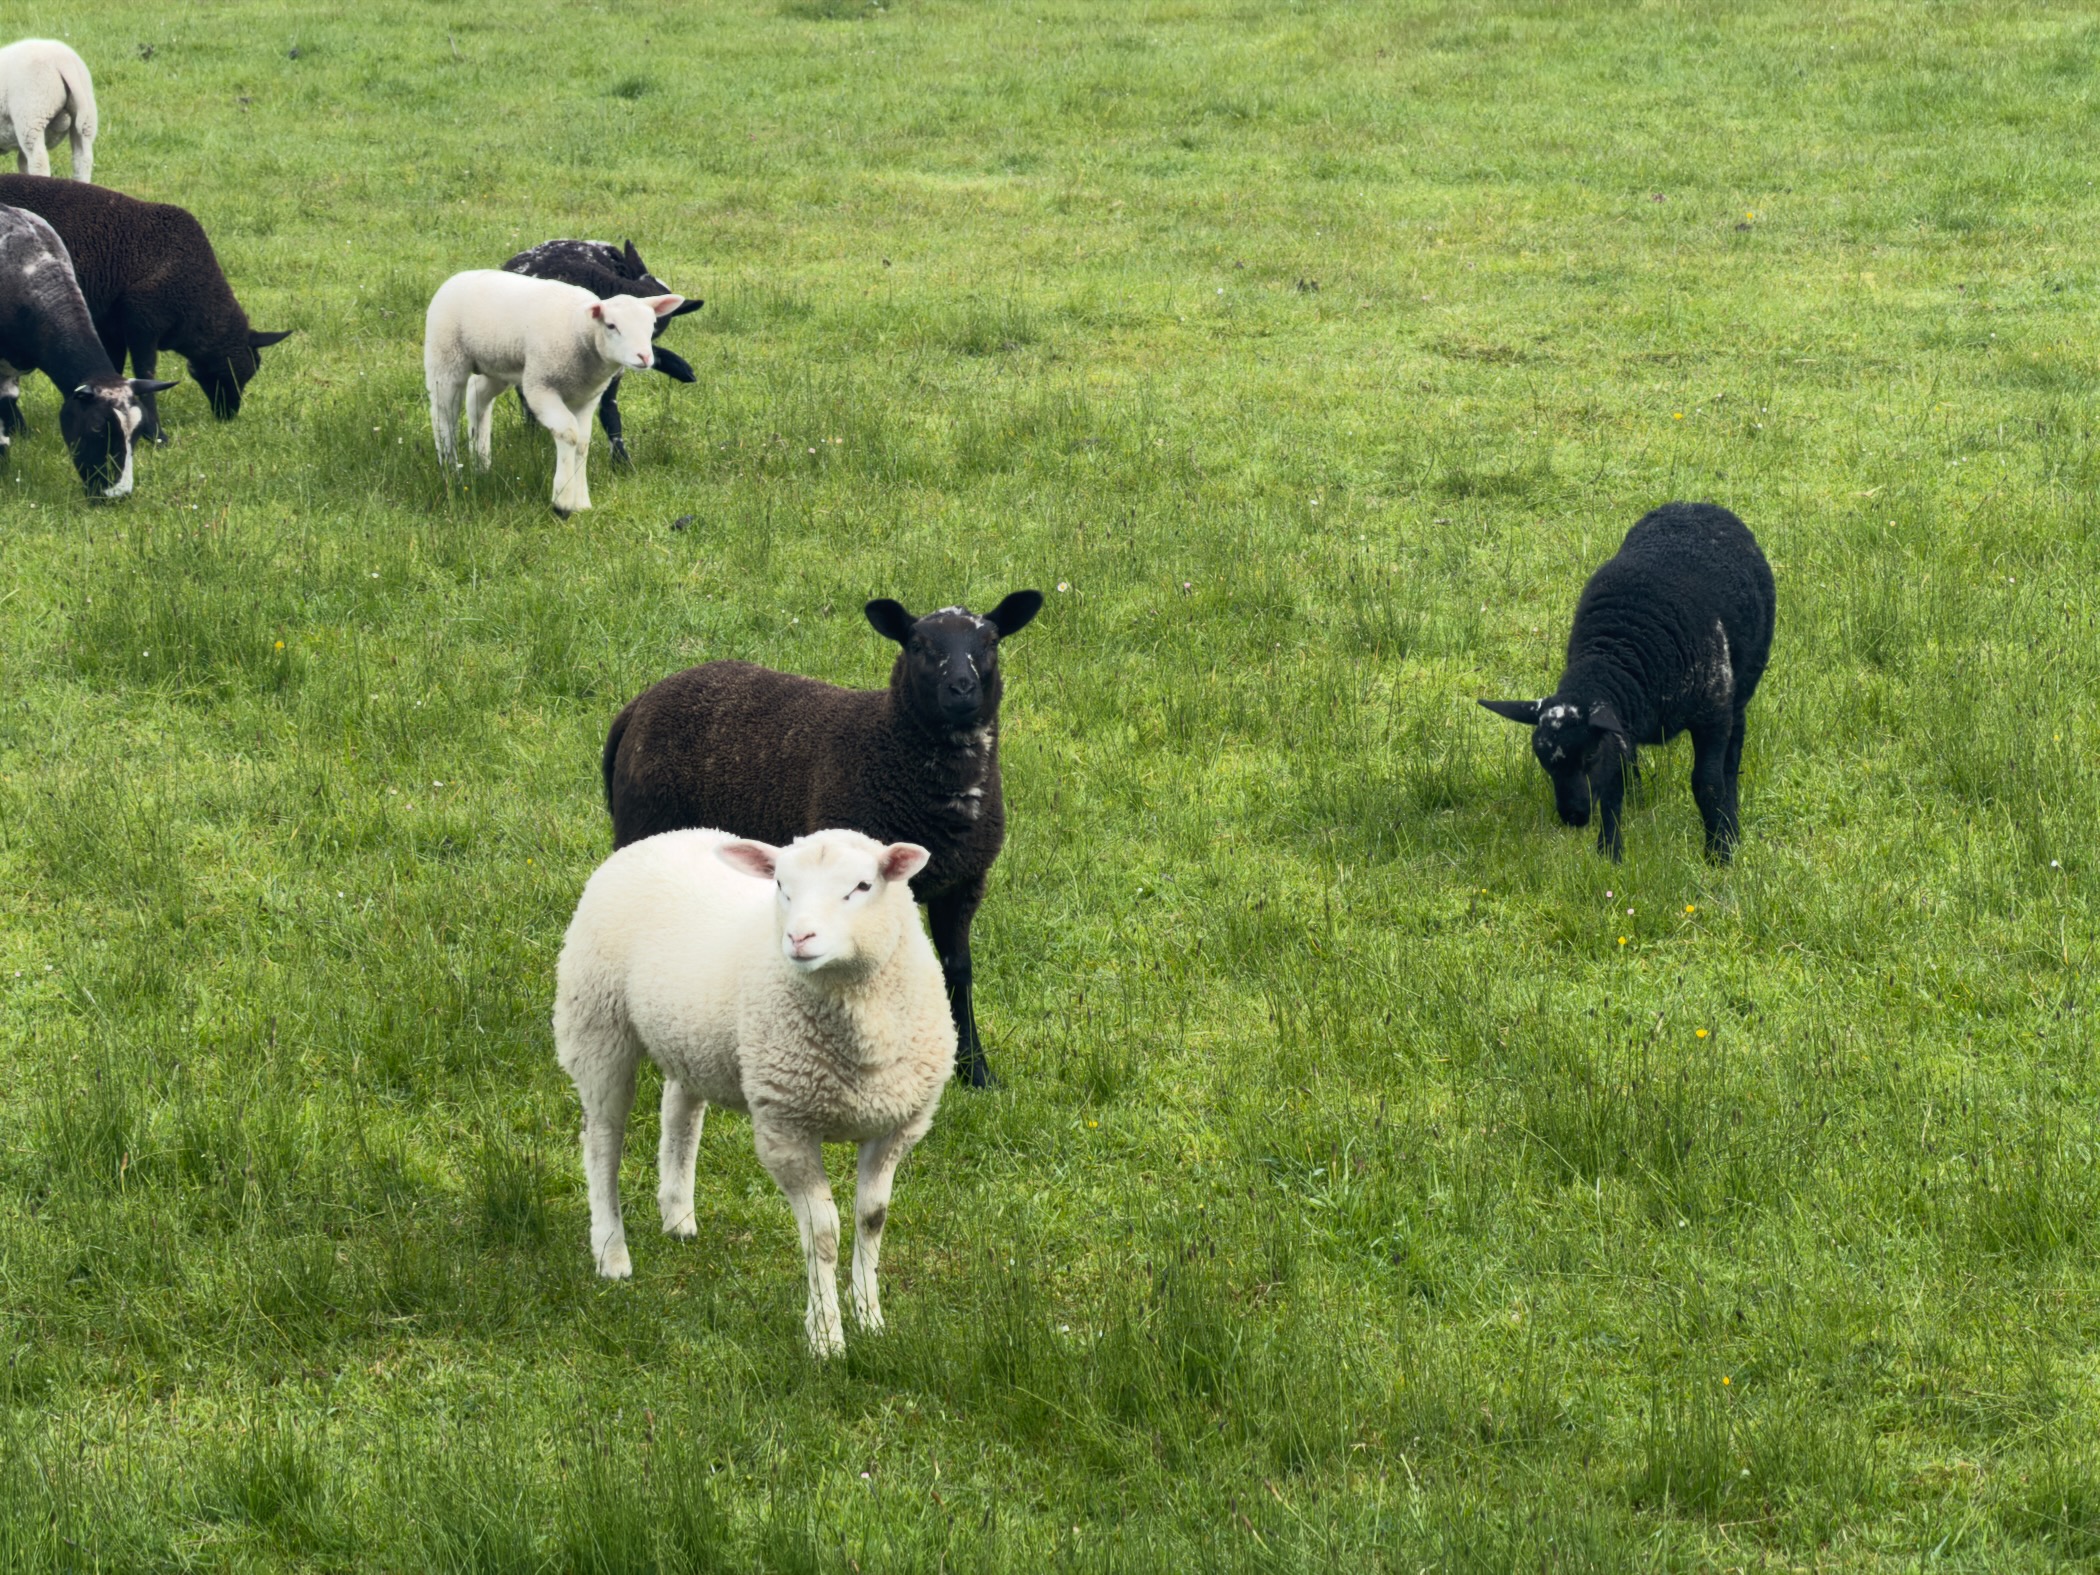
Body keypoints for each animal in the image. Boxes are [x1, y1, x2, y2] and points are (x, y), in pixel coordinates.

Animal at [0, 175, 292, 438]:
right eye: (239, 370)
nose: (228, 415)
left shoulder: (112, 329)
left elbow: (117, 369)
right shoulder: (142, 323)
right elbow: (146, 372)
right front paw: (155, 433)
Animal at [423, 268, 682, 516]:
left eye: (651, 326)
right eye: (611, 325)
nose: (644, 357)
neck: (579, 330)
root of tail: (458, 277)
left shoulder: (587, 396)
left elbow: (583, 442)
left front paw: (582, 503)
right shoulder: (540, 386)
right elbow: (569, 433)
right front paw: (563, 502)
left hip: (497, 364)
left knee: (477, 398)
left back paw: (481, 465)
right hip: (446, 357)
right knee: (443, 414)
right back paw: (451, 472)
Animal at [553, 827, 954, 1358]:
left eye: (863, 886)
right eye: (781, 884)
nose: (799, 938)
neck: (861, 1033)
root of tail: (660, 837)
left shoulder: (896, 1127)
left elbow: (872, 1219)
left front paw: (870, 1319)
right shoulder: (787, 1130)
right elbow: (822, 1235)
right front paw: (826, 1339)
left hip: (690, 1039)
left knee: (679, 1111)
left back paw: (678, 1215)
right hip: (598, 1024)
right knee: (602, 1142)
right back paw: (611, 1252)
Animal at [602, 592, 1044, 1089]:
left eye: (990, 642)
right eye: (917, 645)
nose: (962, 689)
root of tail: (640, 704)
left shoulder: (964, 882)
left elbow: (959, 969)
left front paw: (976, 1071)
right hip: (643, 828)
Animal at [1480, 500, 1775, 862]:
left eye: (1588, 756)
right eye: (1543, 760)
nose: (1574, 817)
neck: (1616, 653)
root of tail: (1695, 504)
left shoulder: (1713, 714)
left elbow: (1707, 782)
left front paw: (1721, 851)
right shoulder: (1618, 726)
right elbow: (1613, 782)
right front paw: (1610, 854)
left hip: (1739, 691)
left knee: (1731, 761)